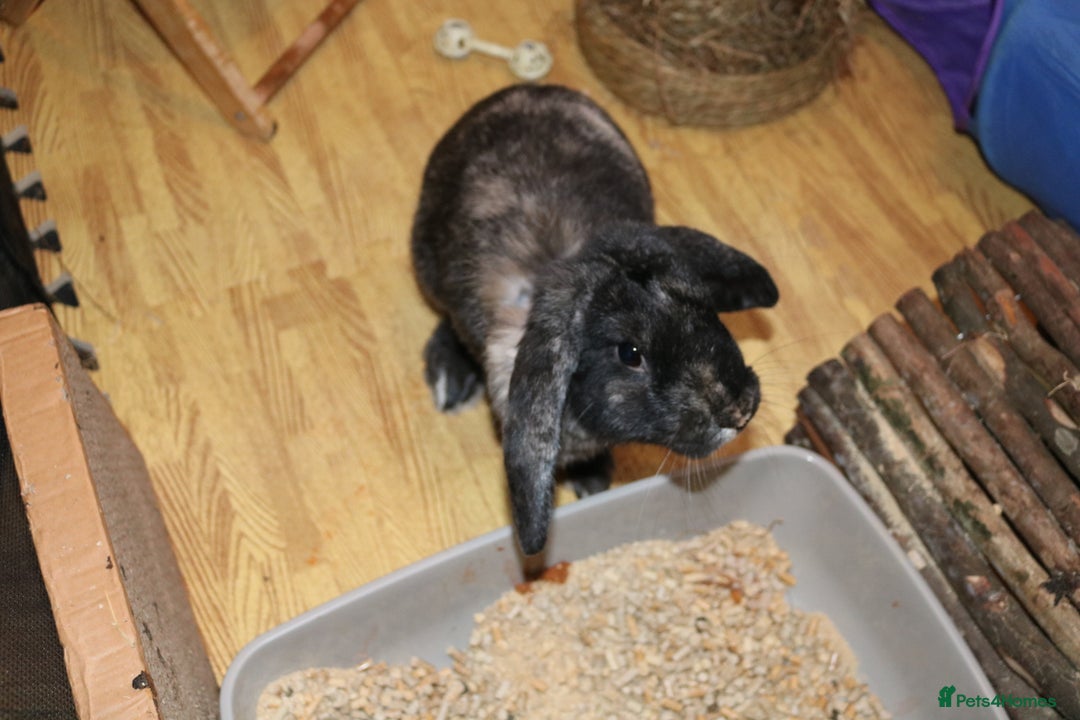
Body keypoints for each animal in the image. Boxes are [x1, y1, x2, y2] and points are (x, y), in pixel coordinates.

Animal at [411, 84, 778, 556]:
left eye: (704, 305)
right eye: (630, 353)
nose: (740, 409)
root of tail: (521, 90)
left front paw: (594, 480)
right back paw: (452, 379)